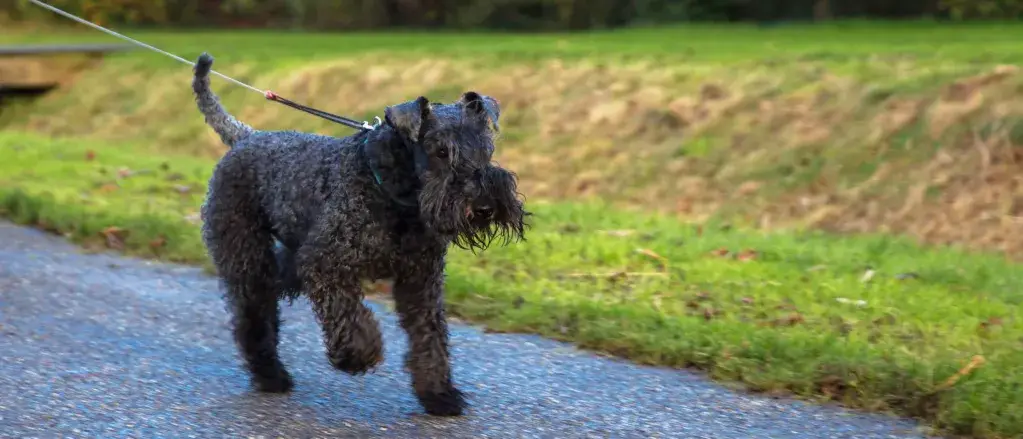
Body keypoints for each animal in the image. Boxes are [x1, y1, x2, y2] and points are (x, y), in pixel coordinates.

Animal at [192, 52, 527, 413]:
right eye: (440, 150)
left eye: (486, 148)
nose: (484, 206)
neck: (393, 191)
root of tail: (245, 137)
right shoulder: (327, 265)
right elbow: (350, 316)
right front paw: (356, 356)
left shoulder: (420, 280)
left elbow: (429, 335)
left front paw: (439, 394)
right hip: (247, 254)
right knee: (252, 315)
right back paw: (270, 375)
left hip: (287, 258)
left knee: (270, 290)